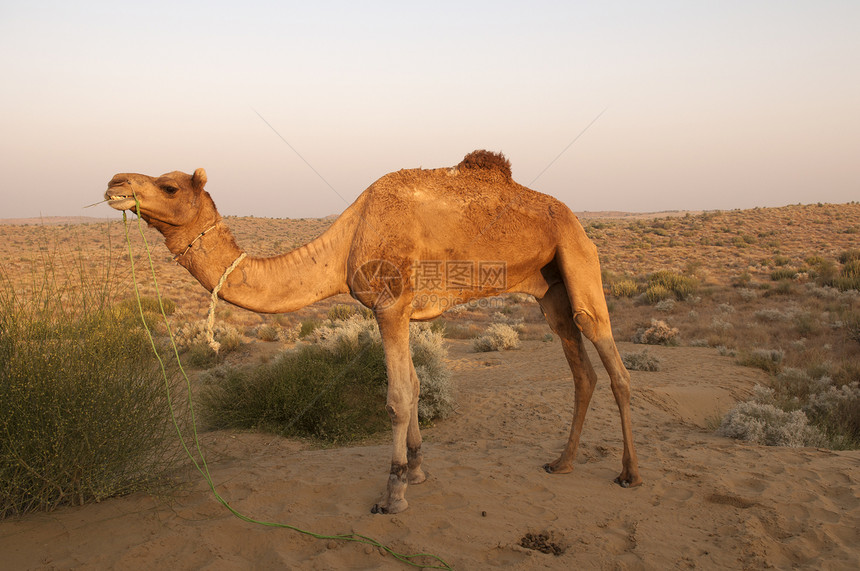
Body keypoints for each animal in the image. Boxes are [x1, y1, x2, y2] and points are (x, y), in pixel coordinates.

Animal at [104, 150, 640, 516]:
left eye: (169, 187)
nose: (113, 181)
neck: (345, 241)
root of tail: (573, 217)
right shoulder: (399, 312)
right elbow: (418, 386)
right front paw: (418, 472)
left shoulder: (391, 304)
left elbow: (398, 395)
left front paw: (393, 493)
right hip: (549, 289)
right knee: (582, 369)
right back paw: (562, 463)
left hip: (578, 256)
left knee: (612, 362)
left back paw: (629, 473)